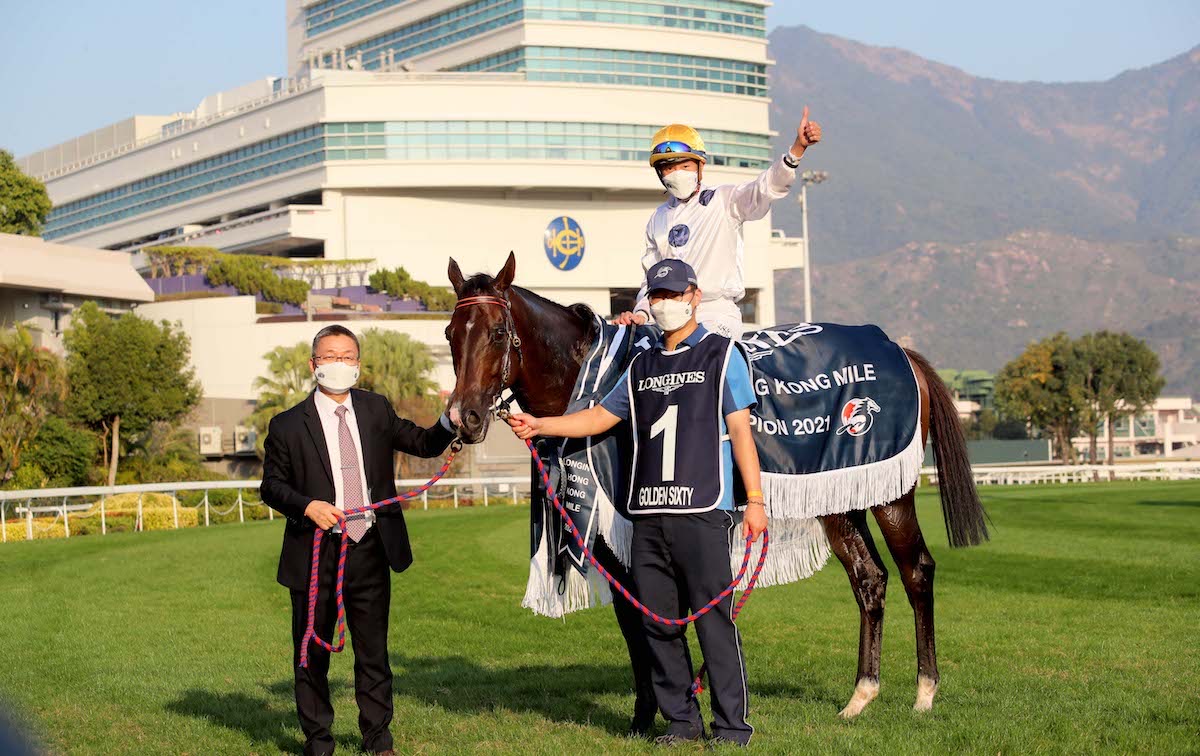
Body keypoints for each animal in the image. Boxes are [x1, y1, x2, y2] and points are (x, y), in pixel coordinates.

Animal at [446, 253, 988, 724]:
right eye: (451, 334)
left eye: (498, 333)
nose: (463, 417)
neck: (595, 380)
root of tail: (902, 352)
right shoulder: (614, 539)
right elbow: (635, 620)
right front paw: (648, 715)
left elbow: (658, 616)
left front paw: (669, 710)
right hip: (841, 496)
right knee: (869, 578)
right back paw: (861, 695)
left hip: (888, 495)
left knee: (916, 571)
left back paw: (924, 692)